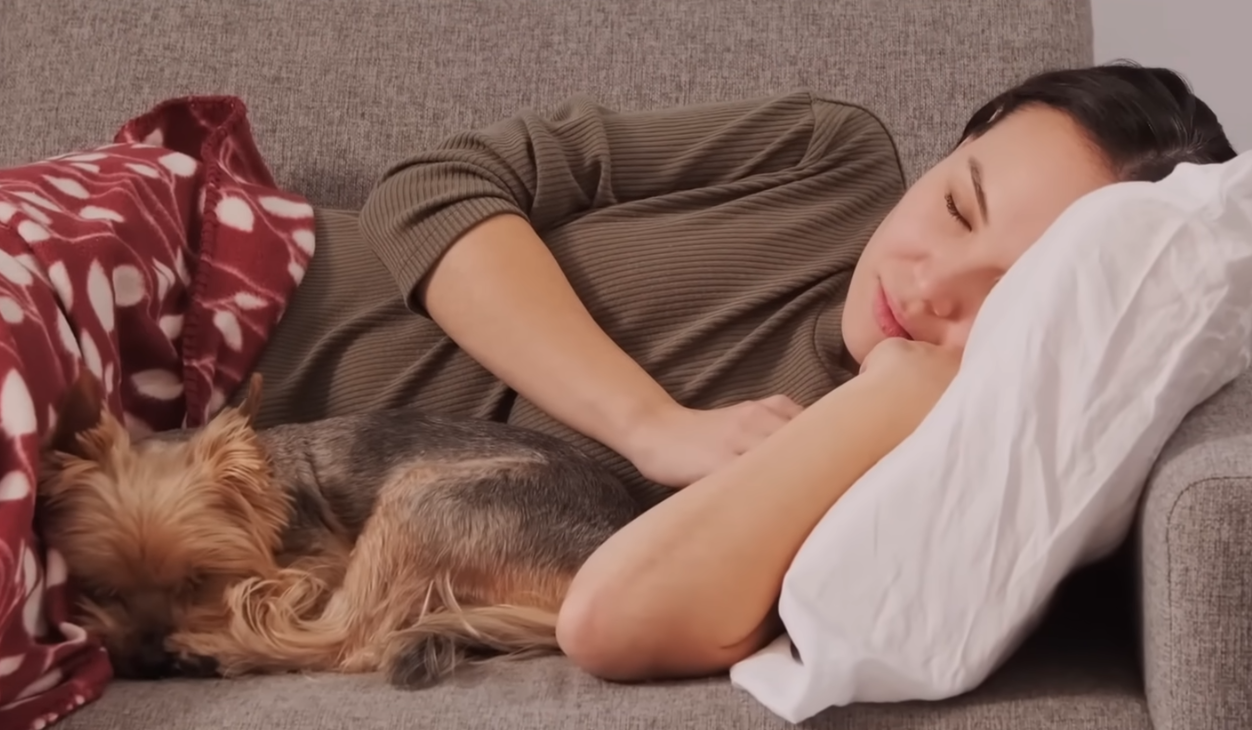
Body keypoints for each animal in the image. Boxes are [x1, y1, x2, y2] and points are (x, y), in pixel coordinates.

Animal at [35, 370, 641, 687]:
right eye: (101, 588)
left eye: (199, 580)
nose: (146, 663)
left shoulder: (323, 557)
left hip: (420, 498)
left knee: (349, 641)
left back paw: (219, 651)